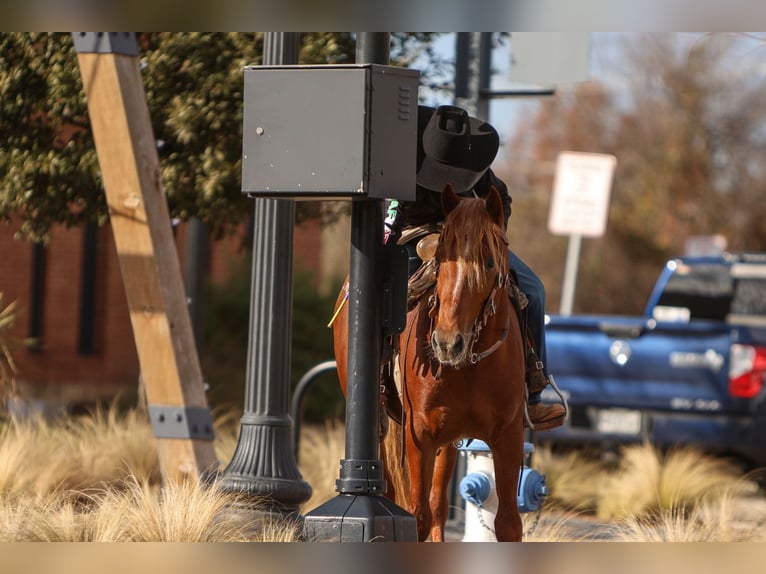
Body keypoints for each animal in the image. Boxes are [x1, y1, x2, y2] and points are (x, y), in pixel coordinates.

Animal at [332, 186, 524, 544]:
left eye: (490, 262)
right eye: (440, 261)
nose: (447, 342)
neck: (470, 367)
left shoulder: (508, 436)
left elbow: (507, 523)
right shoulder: (419, 435)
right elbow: (415, 516)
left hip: (446, 444)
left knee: (437, 508)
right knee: (395, 494)